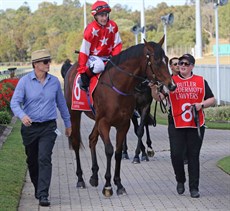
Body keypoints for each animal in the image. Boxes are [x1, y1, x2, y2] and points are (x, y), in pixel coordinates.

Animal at [63, 36, 177, 198]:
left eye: (166, 59)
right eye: (155, 61)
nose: (171, 85)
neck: (117, 86)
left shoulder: (123, 123)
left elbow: (117, 152)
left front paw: (118, 184)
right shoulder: (104, 122)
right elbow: (109, 150)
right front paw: (108, 186)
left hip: (96, 119)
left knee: (92, 139)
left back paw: (94, 176)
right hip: (74, 113)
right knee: (76, 142)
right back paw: (80, 179)